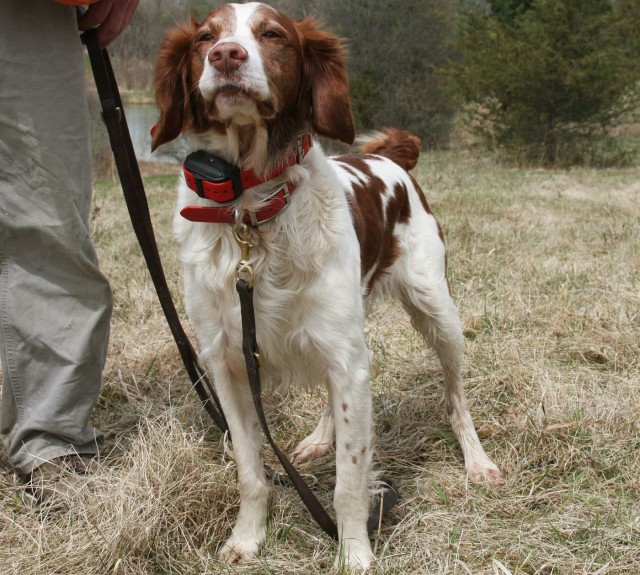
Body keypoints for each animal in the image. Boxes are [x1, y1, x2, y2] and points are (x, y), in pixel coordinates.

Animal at [152, 2, 502, 572]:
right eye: (205, 36)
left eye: (273, 33)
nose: (225, 56)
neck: (252, 211)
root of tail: (389, 158)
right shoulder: (227, 363)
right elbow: (250, 469)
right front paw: (247, 538)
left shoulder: (346, 358)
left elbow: (349, 482)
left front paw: (353, 553)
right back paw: (318, 439)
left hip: (438, 312)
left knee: (456, 398)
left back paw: (477, 461)